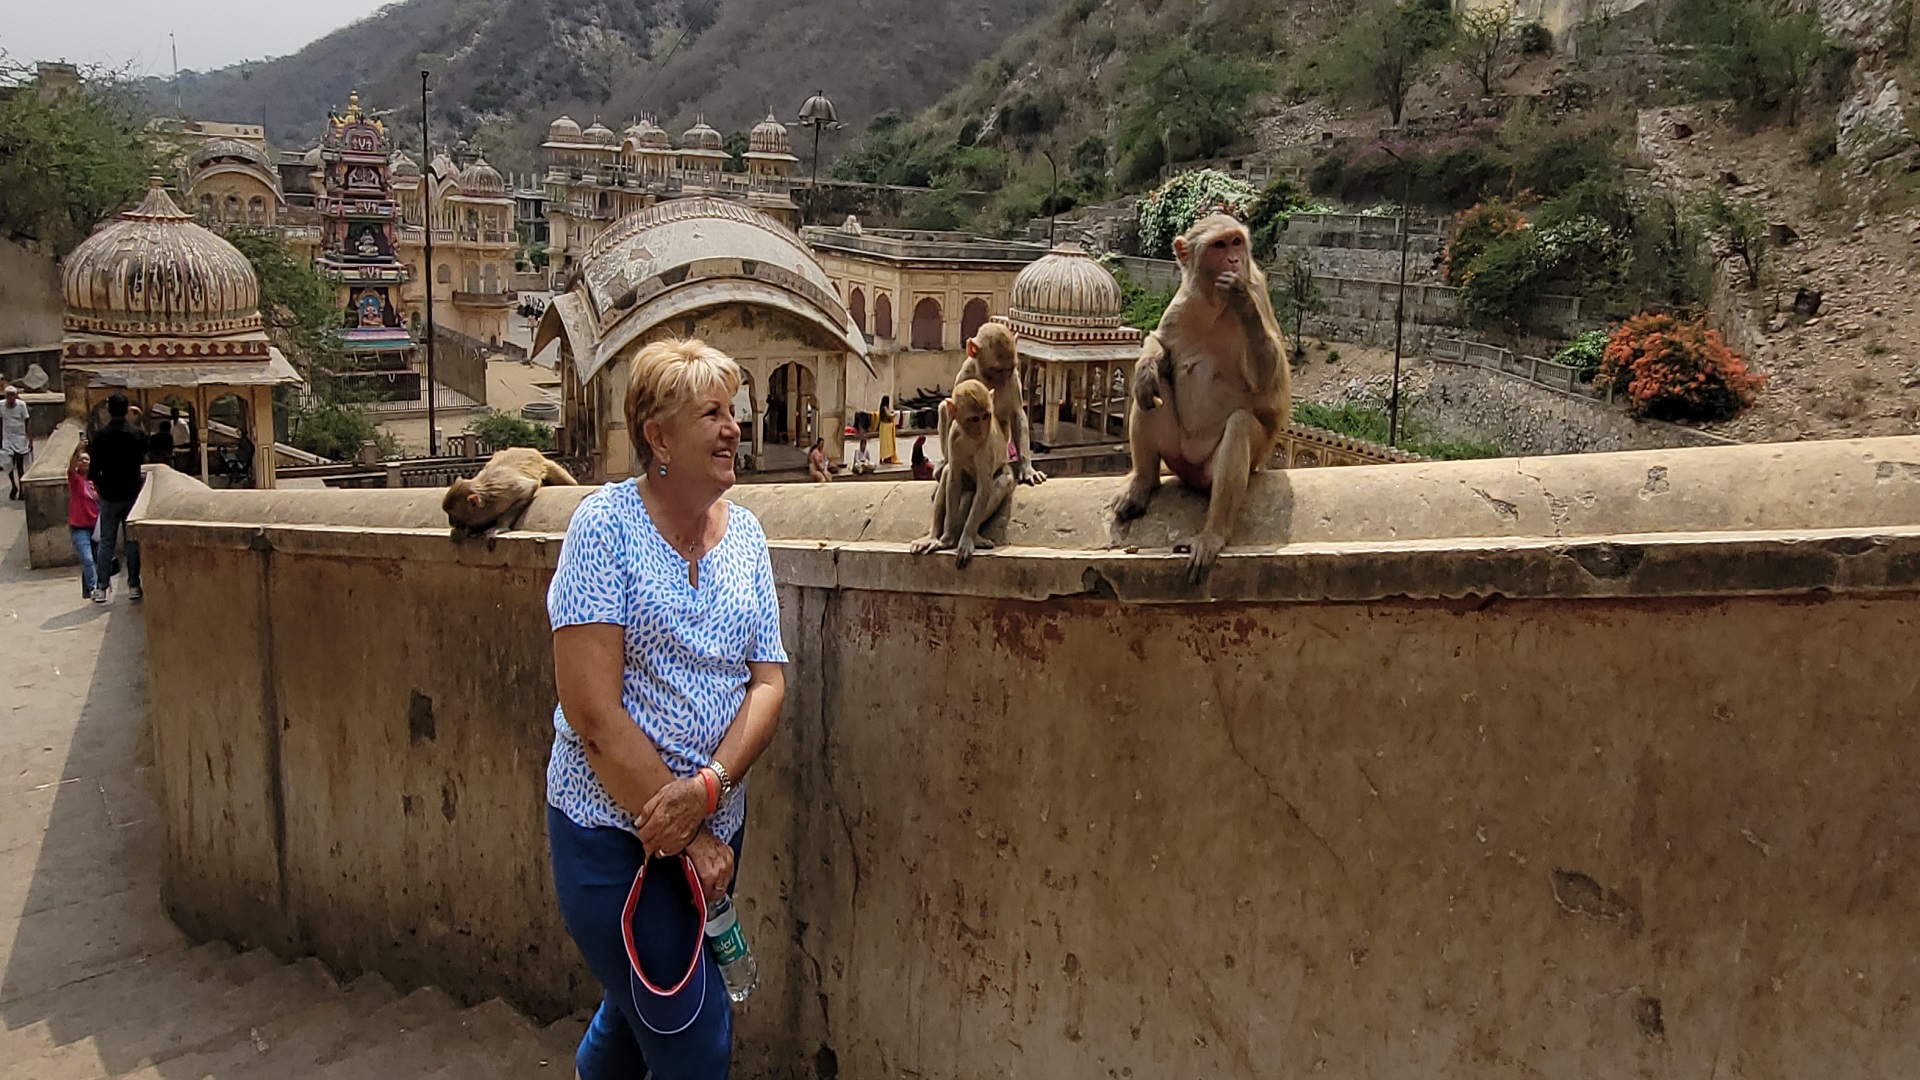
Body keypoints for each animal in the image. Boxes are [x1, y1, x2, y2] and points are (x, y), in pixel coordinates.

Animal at [445, 443, 579, 534]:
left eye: (452, 514)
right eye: (448, 514)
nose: (451, 522)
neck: (487, 501)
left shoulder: (503, 493)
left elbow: (529, 488)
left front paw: (499, 526)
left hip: (546, 465)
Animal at [913, 376, 1021, 564]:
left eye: (986, 416)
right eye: (974, 419)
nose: (981, 430)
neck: (970, 436)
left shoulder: (986, 445)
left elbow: (985, 487)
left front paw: (966, 540)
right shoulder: (954, 436)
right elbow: (953, 478)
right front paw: (948, 538)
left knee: (1002, 481)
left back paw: (974, 537)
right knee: (948, 472)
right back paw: (933, 536)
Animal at [936, 320, 1044, 486]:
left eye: (1010, 369)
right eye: (997, 370)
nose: (1003, 382)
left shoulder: (1014, 379)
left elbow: (1017, 415)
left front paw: (1027, 469)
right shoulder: (966, 373)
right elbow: (955, 413)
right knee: (943, 408)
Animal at [1113, 211, 1290, 580]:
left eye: (1236, 242)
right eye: (1220, 245)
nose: (1235, 260)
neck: (1213, 304)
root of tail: (1192, 472)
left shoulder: (1259, 290)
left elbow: (1269, 382)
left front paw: (1240, 295)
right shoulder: (1183, 303)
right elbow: (1161, 346)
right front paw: (1148, 365)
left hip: (1225, 465)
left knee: (1240, 426)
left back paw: (1213, 533)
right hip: (1176, 454)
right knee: (1151, 396)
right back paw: (1142, 484)